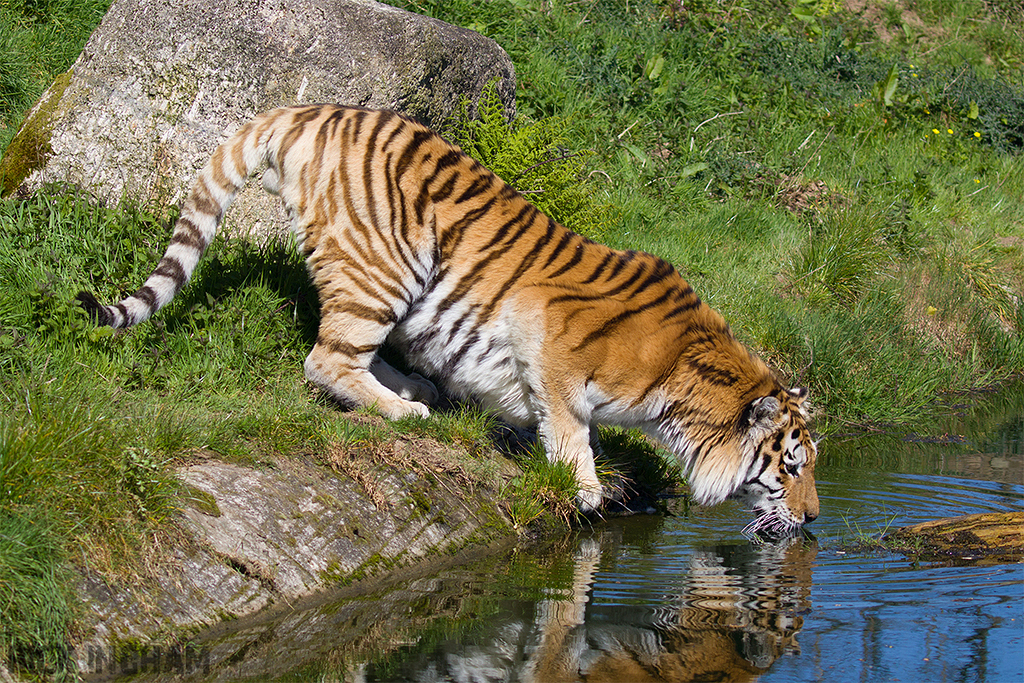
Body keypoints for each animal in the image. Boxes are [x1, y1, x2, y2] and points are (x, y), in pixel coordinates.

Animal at [75, 102, 819, 528]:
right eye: (789, 467)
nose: (814, 519)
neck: (683, 388)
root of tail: (309, 108)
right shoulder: (546, 329)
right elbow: (568, 425)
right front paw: (583, 489)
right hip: (386, 263)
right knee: (325, 358)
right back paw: (407, 410)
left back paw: (414, 387)